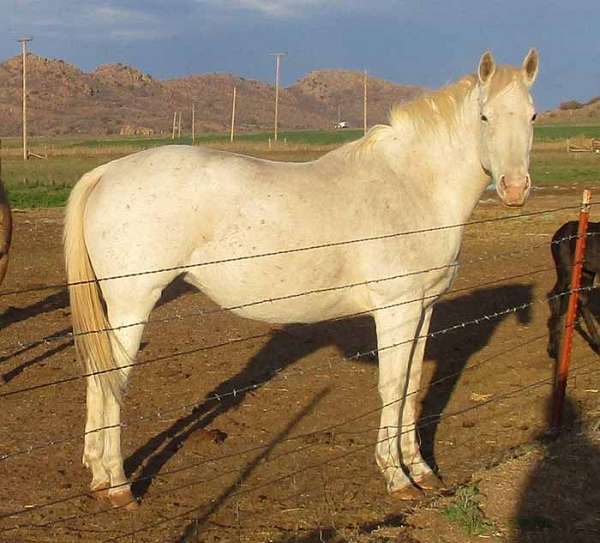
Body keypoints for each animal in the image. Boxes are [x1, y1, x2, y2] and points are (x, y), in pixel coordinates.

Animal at [64, 51, 540, 510]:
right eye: (484, 116)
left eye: (533, 115)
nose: (515, 188)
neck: (410, 185)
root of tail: (106, 172)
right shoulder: (396, 310)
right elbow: (392, 386)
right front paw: (397, 477)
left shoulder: (422, 310)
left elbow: (412, 384)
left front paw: (421, 470)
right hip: (133, 304)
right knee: (112, 380)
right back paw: (118, 486)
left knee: (97, 377)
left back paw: (97, 474)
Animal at [548, 219, 600, 360]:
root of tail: (557, 234)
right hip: (566, 271)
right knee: (555, 294)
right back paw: (554, 350)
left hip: (587, 272)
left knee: (582, 299)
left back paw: (597, 344)